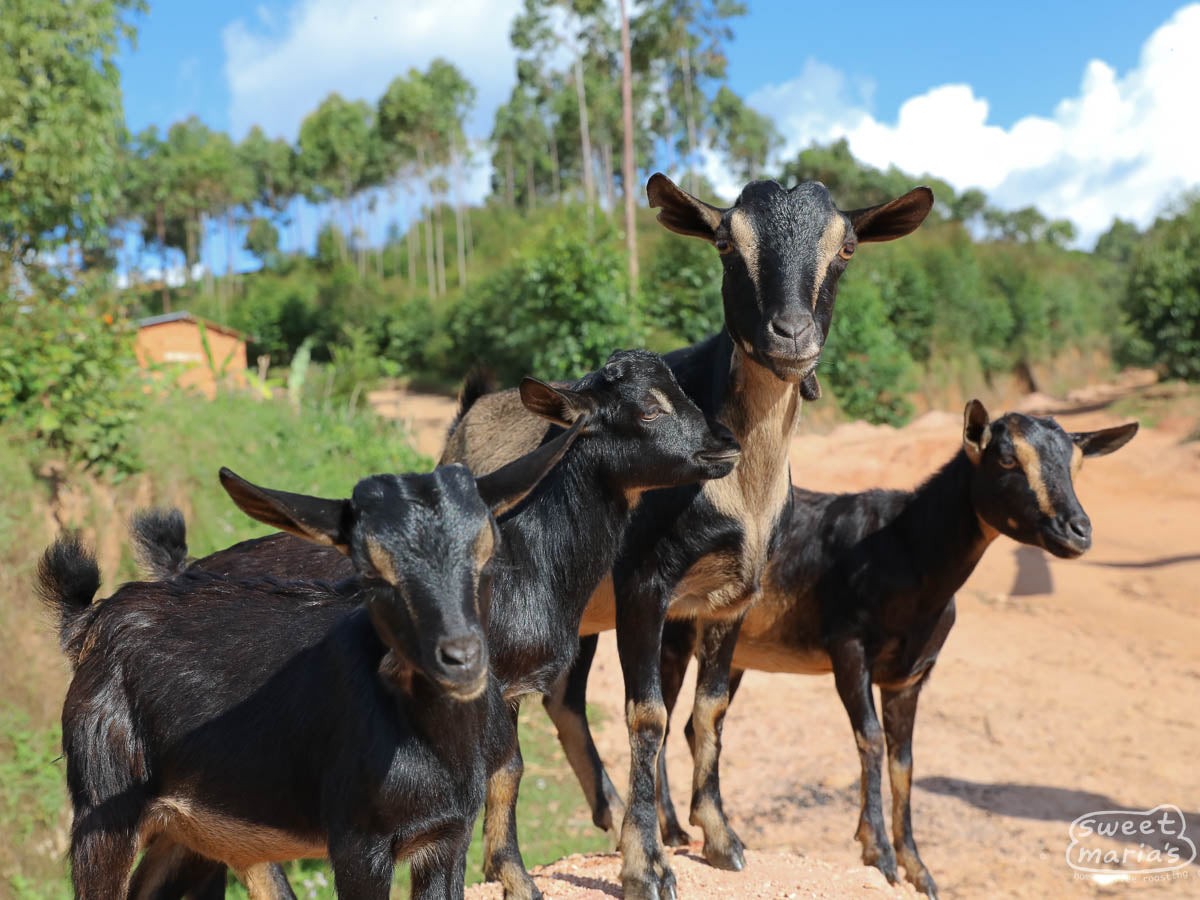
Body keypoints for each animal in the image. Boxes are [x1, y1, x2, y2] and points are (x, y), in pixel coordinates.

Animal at [39, 417, 583, 900]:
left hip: (188, 824)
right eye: (371, 571)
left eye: (487, 554)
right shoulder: (358, 841)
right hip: (104, 805)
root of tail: (90, 622)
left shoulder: (448, 836)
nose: (461, 657)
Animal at [124, 349, 742, 900]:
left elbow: (507, 771)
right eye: (648, 410)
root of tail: (179, 569)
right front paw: (517, 880)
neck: (529, 557)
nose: (726, 446)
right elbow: (504, 773)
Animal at [443, 173, 934, 899]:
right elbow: (647, 713)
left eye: (846, 248)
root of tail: (470, 411)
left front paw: (720, 836)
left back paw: (614, 810)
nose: (792, 335)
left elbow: (708, 710)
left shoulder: (730, 598)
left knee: (565, 698)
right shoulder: (644, 583)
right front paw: (646, 865)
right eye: (726, 243)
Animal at [649, 402, 1138, 898]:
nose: (1077, 532)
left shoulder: (911, 674)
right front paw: (878, 852)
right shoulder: (848, 648)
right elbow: (870, 738)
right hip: (673, 633)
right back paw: (671, 832)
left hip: (735, 654)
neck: (906, 551)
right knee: (665, 722)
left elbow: (905, 760)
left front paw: (918, 868)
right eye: (1006, 460)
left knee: (694, 724)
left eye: (1077, 464)